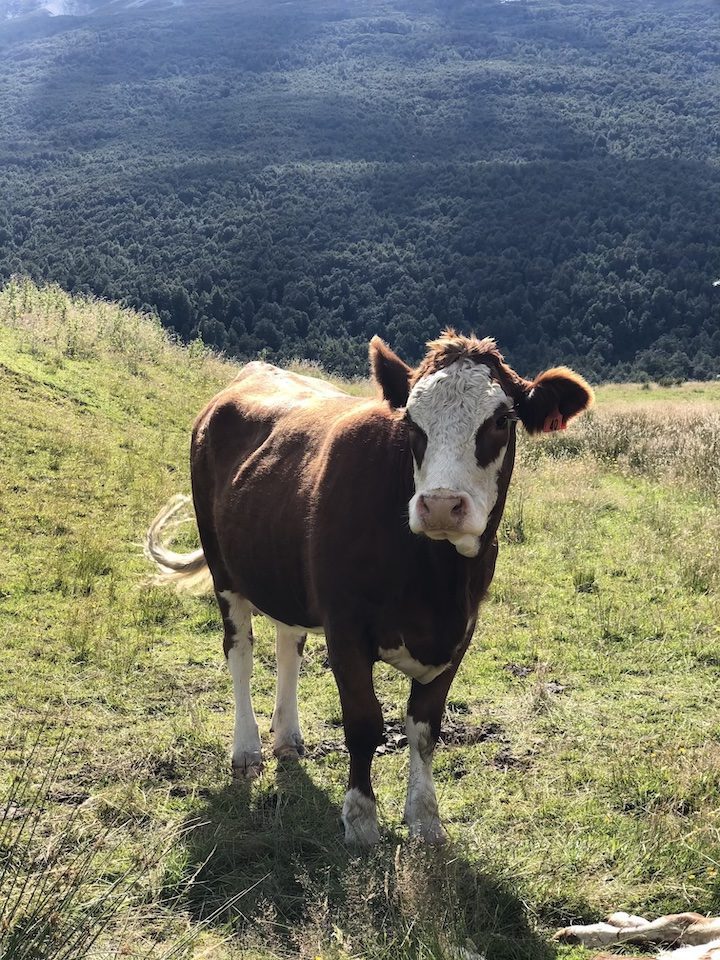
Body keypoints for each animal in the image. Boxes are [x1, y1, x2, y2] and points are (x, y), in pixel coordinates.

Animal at [145, 334, 592, 844]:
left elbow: (424, 728)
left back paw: (288, 737)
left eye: (501, 420)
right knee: (239, 649)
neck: (435, 581)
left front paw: (425, 818)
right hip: (224, 568)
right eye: (412, 422)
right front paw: (360, 819)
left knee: (287, 645)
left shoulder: (461, 634)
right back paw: (247, 749)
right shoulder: (345, 629)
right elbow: (363, 724)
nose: (441, 505)